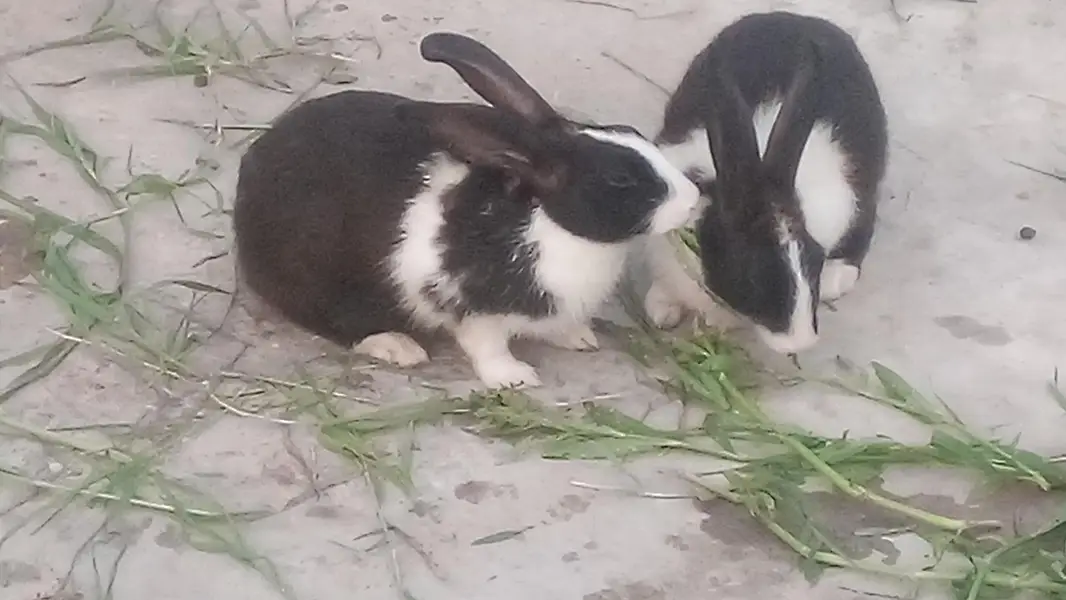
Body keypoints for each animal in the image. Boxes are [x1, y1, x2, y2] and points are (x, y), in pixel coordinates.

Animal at [233, 32, 701, 389]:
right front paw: (514, 378)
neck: (548, 226)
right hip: (320, 281)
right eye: (619, 179)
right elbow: (486, 346)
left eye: (633, 133)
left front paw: (577, 337)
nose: (693, 199)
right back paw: (397, 346)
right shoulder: (473, 310)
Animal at [640, 11, 889, 354]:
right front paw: (662, 311)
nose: (800, 342)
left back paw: (838, 278)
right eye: (752, 276)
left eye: (814, 258)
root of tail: (802, 18)